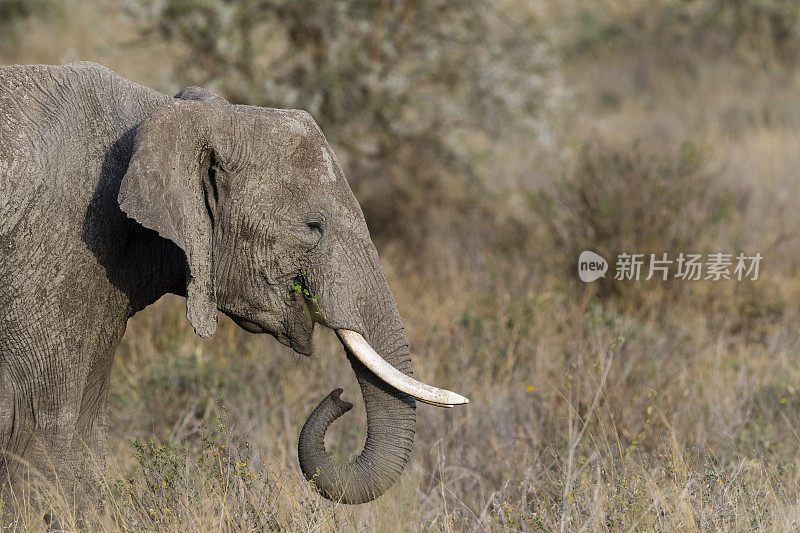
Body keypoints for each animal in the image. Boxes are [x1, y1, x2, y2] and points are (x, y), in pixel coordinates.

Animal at [0, 62, 468, 508]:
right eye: (312, 228)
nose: (339, 398)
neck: (166, 114)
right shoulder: (58, 253)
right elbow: (45, 436)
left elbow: (85, 435)